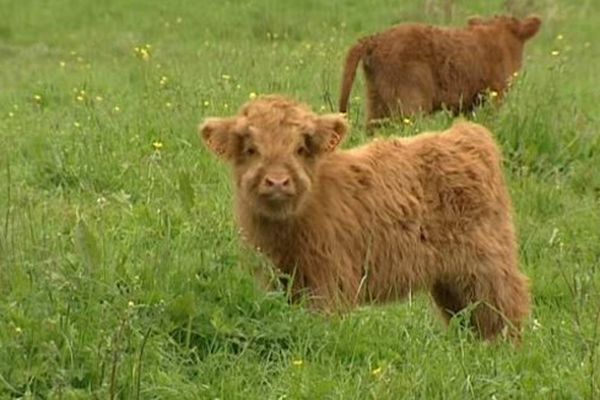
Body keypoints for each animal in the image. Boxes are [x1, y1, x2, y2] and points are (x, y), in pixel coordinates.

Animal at [200, 95, 528, 342]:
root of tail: (465, 134)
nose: (277, 181)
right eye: (251, 149)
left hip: (487, 266)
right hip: (450, 280)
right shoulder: (274, 278)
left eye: (300, 148)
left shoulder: (329, 279)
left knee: (506, 307)